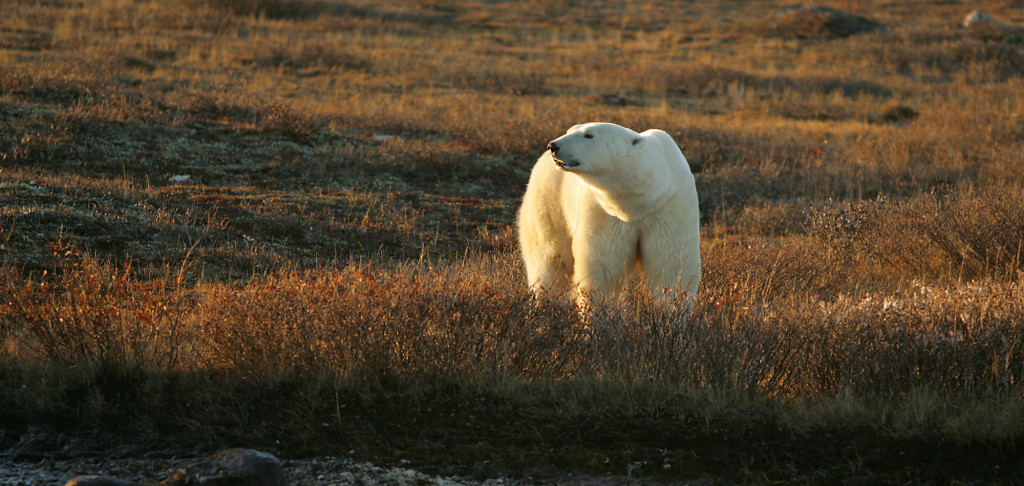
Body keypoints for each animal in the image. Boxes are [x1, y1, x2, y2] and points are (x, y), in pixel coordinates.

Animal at [517, 122, 701, 310]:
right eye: (570, 131)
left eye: (588, 135)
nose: (553, 146)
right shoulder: (605, 213)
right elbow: (603, 264)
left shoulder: (669, 208)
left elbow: (671, 263)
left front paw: (672, 309)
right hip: (549, 203)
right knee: (550, 257)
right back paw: (547, 300)